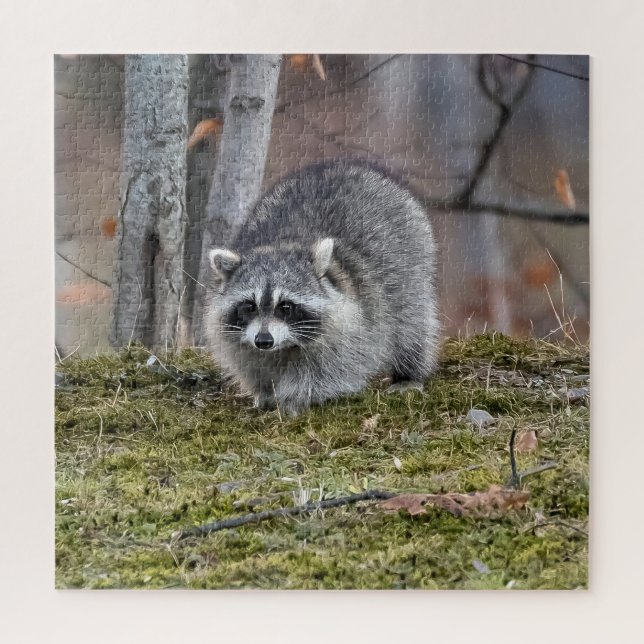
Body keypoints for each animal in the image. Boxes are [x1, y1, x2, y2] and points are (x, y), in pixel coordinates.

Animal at [204, 162, 440, 415]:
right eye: (249, 306)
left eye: (285, 306)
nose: (264, 340)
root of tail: (342, 165)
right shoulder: (241, 340)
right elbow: (253, 365)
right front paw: (265, 392)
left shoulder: (353, 328)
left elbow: (334, 371)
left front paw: (295, 398)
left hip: (411, 263)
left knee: (410, 324)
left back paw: (409, 373)